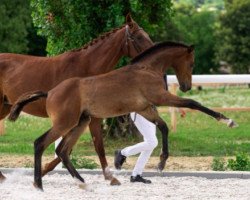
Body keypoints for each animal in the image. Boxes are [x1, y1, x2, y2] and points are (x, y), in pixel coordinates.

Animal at [0, 14, 153, 184]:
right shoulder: (79, 119)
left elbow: (85, 146)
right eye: (138, 37)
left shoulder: (88, 118)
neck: (85, 67)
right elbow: (81, 147)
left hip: (5, 107)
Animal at [8, 41, 237, 191]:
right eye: (191, 63)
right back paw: (39, 185)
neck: (147, 69)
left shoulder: (146, 108)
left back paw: (83, 183)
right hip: (66, 122)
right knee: (41, 143)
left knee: (62, 150)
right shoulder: (160, 97)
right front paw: (227, 120)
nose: (186, 86)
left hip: (80, 123)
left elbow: (163, 126)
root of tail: (50, 92)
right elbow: (193, 104)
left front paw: (161, 162)